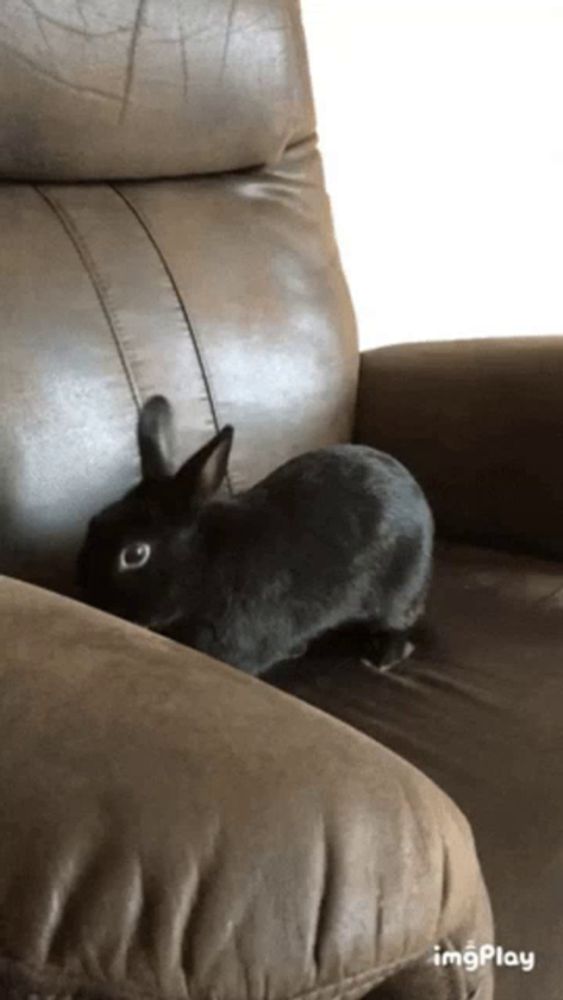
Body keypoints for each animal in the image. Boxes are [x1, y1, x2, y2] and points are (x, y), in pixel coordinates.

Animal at [77, 394, 434, 676]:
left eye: (135, 554)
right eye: (95, 521)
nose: (87, 598)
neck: (206, 566)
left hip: (397, 591)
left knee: (399, 623)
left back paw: (383, 657)